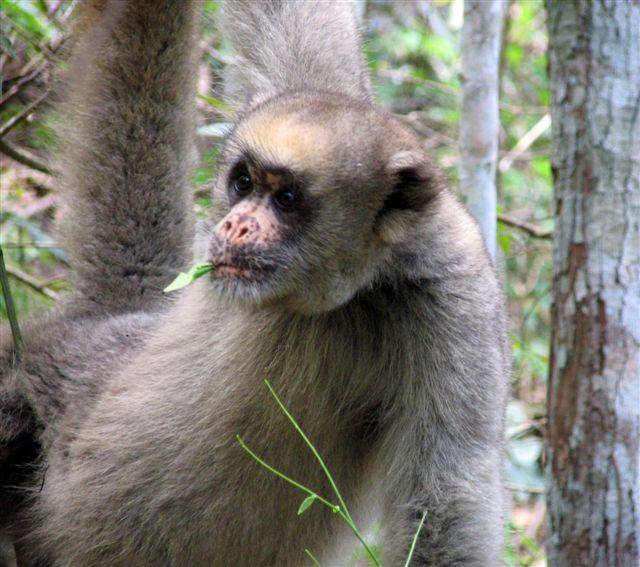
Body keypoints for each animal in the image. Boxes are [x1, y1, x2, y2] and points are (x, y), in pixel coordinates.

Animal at [0, 0, 509, 565]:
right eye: (243, 182)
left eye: (285, 198)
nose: (235, 225)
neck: (344, 299)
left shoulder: (455, 293)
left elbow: (441, 507)